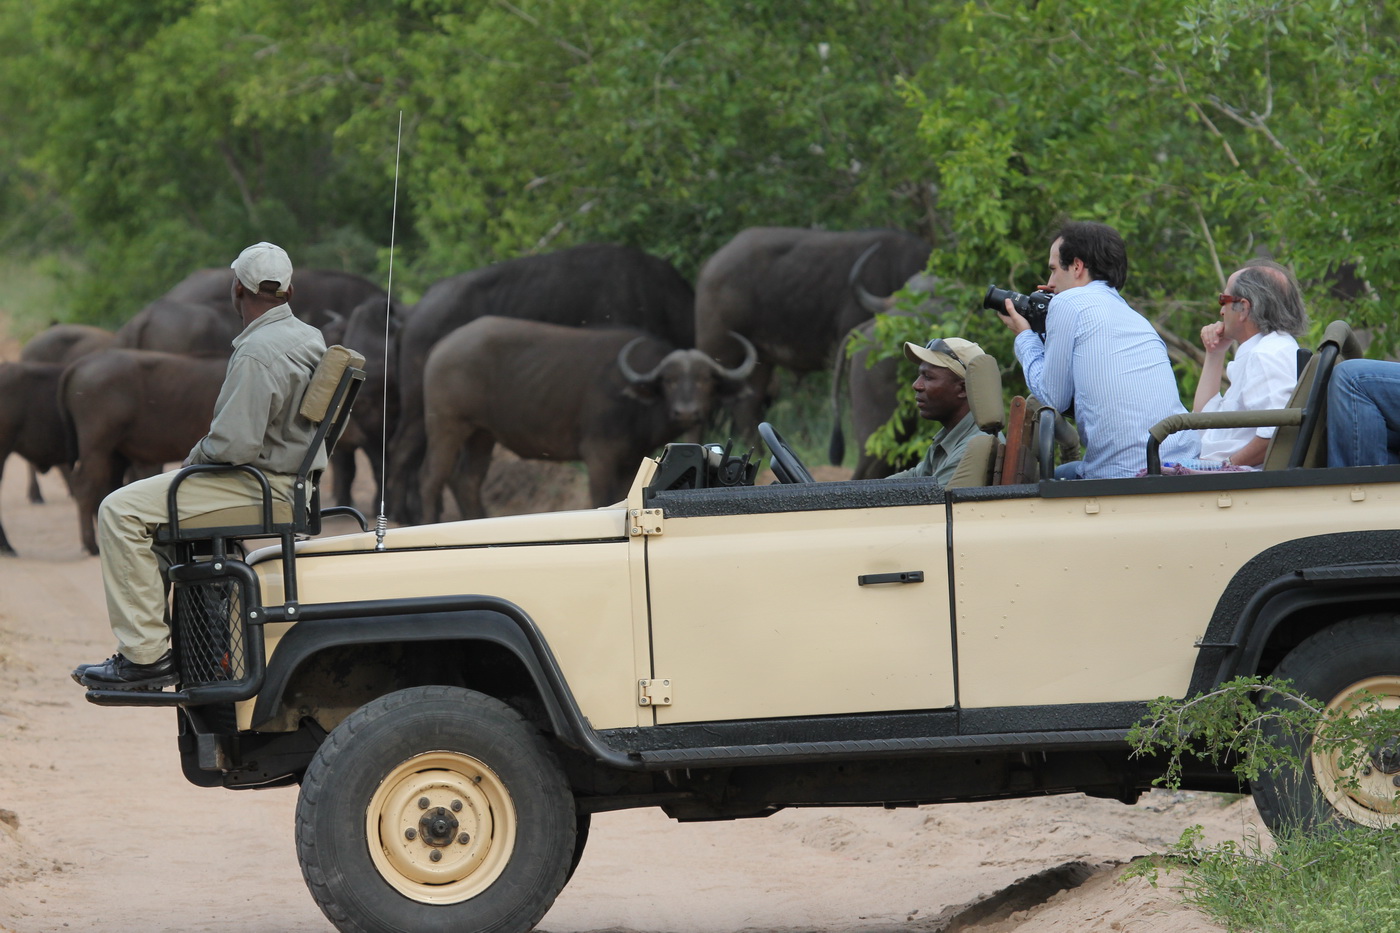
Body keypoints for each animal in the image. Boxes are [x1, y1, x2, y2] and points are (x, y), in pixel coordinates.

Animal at [61, 348, 225, 551]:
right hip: (96, 444)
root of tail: (79, 364)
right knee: (85, 484)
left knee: (107, 485)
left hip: (115, 452)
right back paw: (91, 544)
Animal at [417, 318, 756, 523]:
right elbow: (602, 497)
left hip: (482, 434)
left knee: (467, 480)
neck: (636, 404)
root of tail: (440, 348)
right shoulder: (599, 455)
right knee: (432, 478)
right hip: (447, 424)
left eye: (705, 380)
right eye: (670, 380)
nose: (686, 412)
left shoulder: (630, 460)